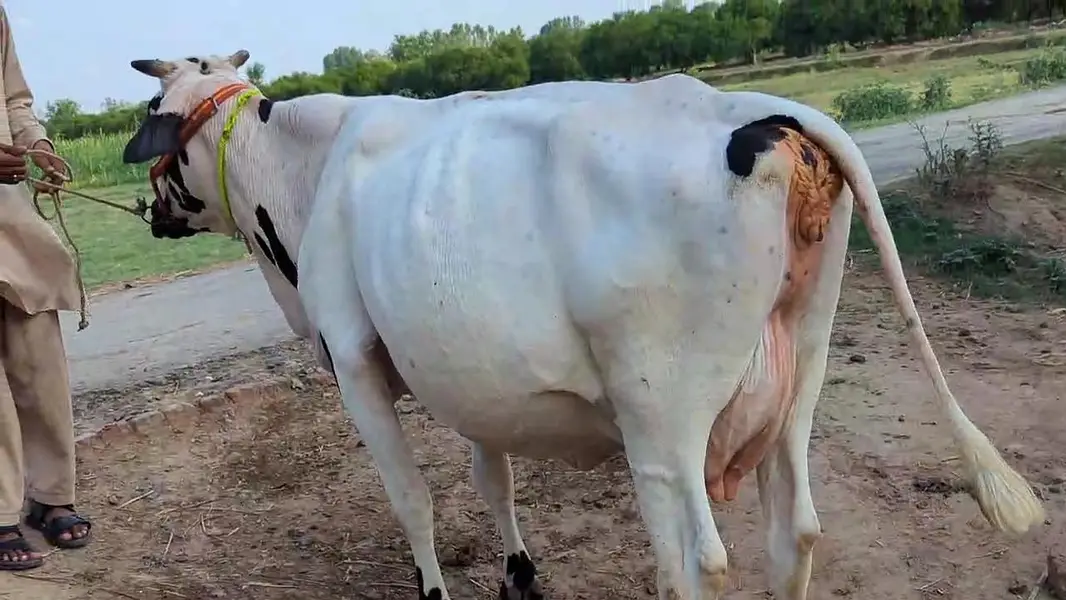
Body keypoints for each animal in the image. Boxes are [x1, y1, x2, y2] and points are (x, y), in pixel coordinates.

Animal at [121, 50, 1045, 600]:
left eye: (154, 109)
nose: (150, 211)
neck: (309, 163)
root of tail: (759, 111)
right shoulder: (460, 371)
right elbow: (492, 479)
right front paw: (519, 575)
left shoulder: (352, 360)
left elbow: (412, 501)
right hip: (799, 380)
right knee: (797, 533)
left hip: (662, 419)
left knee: (694, 562)